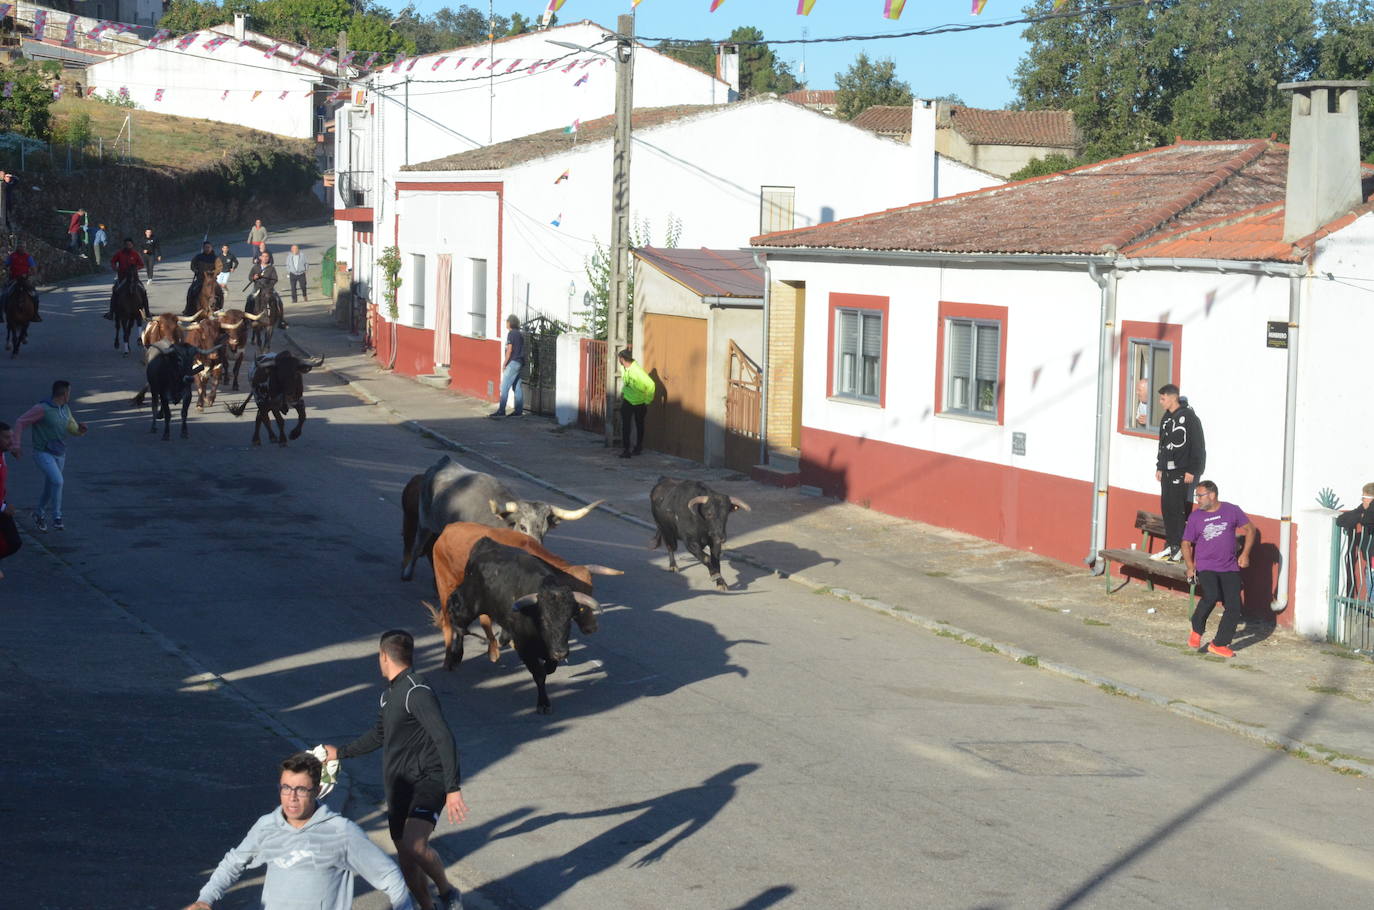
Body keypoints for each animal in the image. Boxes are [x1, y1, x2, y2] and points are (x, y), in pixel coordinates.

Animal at [425, 519, 626, 670]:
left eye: (591, 590)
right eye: (579, 605)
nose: (592, 628)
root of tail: (449, 528)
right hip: (444, 584)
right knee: (448, 622)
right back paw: (449, 659)